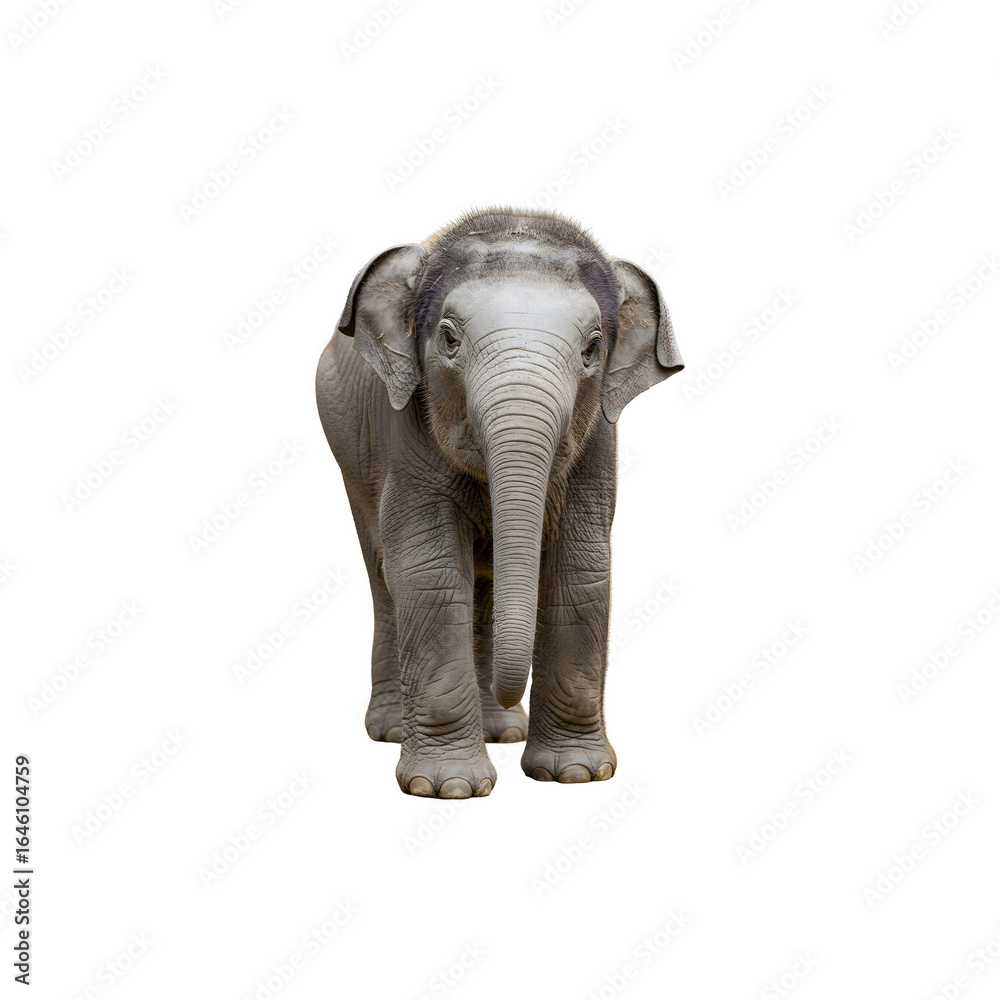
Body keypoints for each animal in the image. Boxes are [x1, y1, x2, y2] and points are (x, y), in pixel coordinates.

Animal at [315, 207, 683, 798]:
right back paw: (394, 730)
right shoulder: (406, 422)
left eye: (592, 349)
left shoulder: (599, 437)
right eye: (448, 339)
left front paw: (576, 774)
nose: (512, 694)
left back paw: (503, 732)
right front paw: (447, 787)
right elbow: (428, 568)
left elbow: (581, 567)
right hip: (347, 445)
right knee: (384, 575)